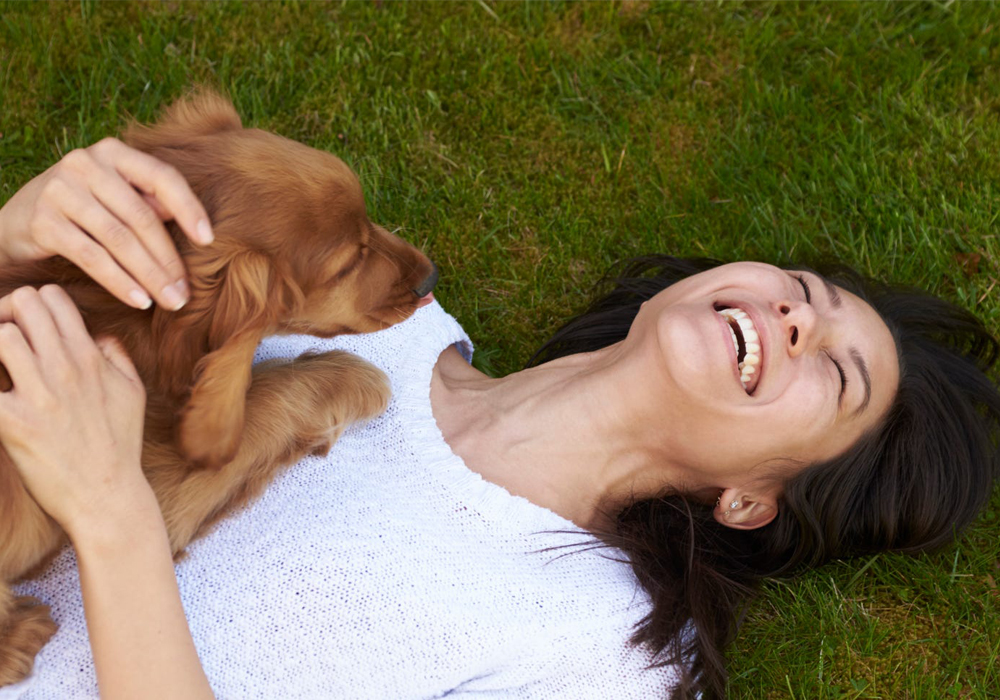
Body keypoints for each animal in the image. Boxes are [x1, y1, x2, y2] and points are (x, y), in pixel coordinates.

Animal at [0, 89, 438, 684]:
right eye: (348, 262)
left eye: (368, 222)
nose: (431, 279)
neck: (116, 308)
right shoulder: (159, 489)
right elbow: (269, 393)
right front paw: (352, 375)